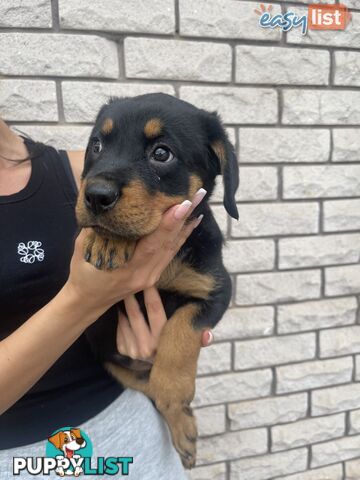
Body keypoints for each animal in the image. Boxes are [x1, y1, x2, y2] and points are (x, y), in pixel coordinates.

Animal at [75, 92, 239, 466]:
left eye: (162, 154)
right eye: (97, 145)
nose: (95, 195)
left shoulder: (215, 289)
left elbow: (180, 332)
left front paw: (174, 389)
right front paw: (105, 239)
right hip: (109, 361)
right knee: (144, 385)